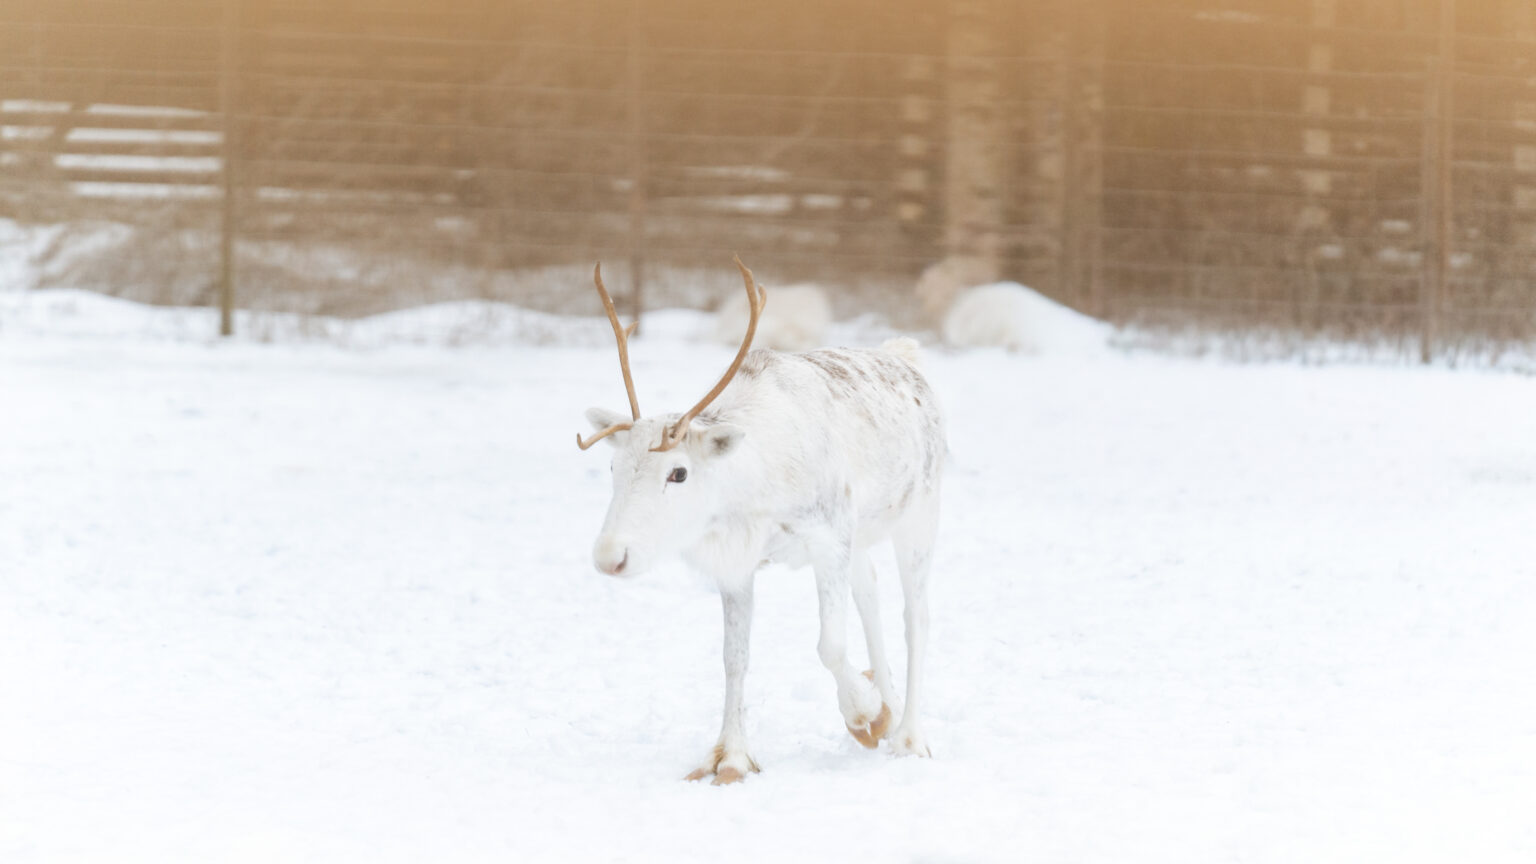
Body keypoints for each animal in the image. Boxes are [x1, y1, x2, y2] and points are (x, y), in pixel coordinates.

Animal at [577, 256, 945, 784]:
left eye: (678, 472)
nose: (610, 556)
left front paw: (866, 716)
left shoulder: (828, 536)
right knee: (871, 596)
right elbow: (734, 658)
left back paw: (909, 735)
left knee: (916, 616)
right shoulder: (739, 564)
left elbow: (830, 645)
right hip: (862, 537)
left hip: (918, 514)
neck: (752, 490)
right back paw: (890, 701)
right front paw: (730, 756)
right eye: (612, 467)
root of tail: (906, 357)